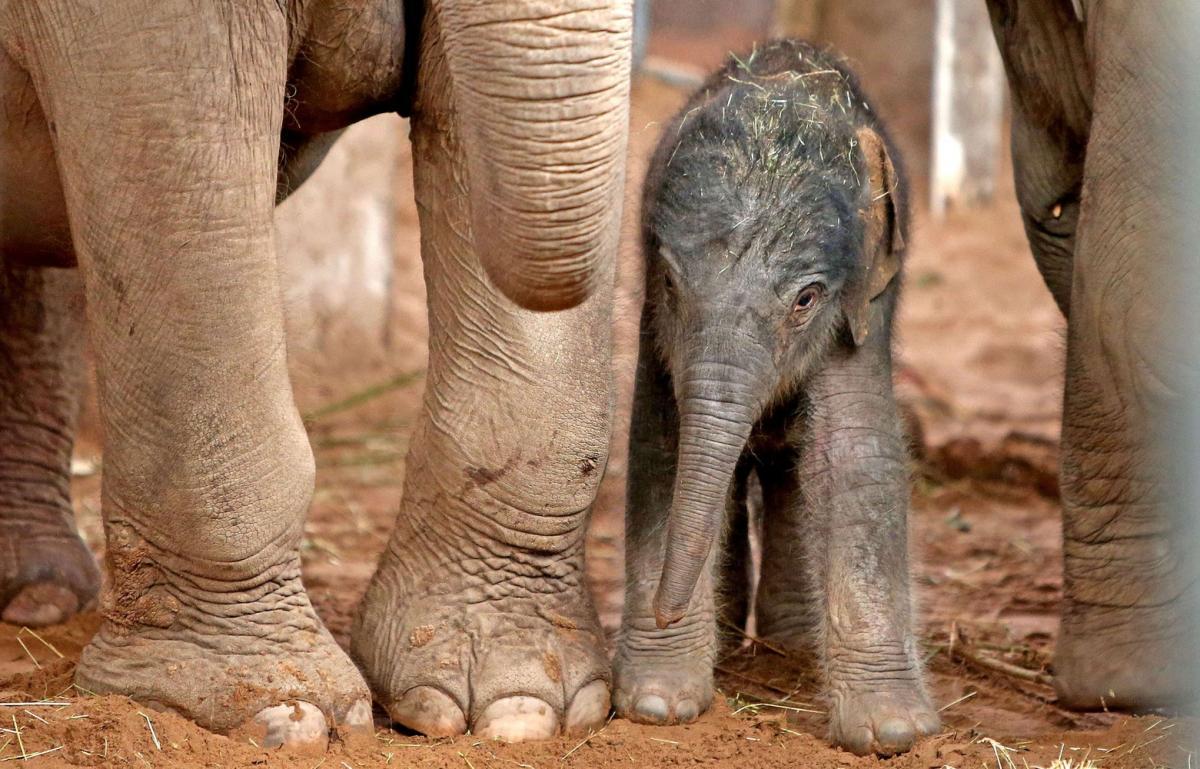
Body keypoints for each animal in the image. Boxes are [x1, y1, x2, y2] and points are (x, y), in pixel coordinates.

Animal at [614, 38, 940, 753]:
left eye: (806, 299)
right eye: (673, 284)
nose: (663, 608)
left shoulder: (864, 299)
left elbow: (854, 451)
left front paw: (891, 731)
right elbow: (664, 440)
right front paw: (658, 704)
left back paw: (785, 645)